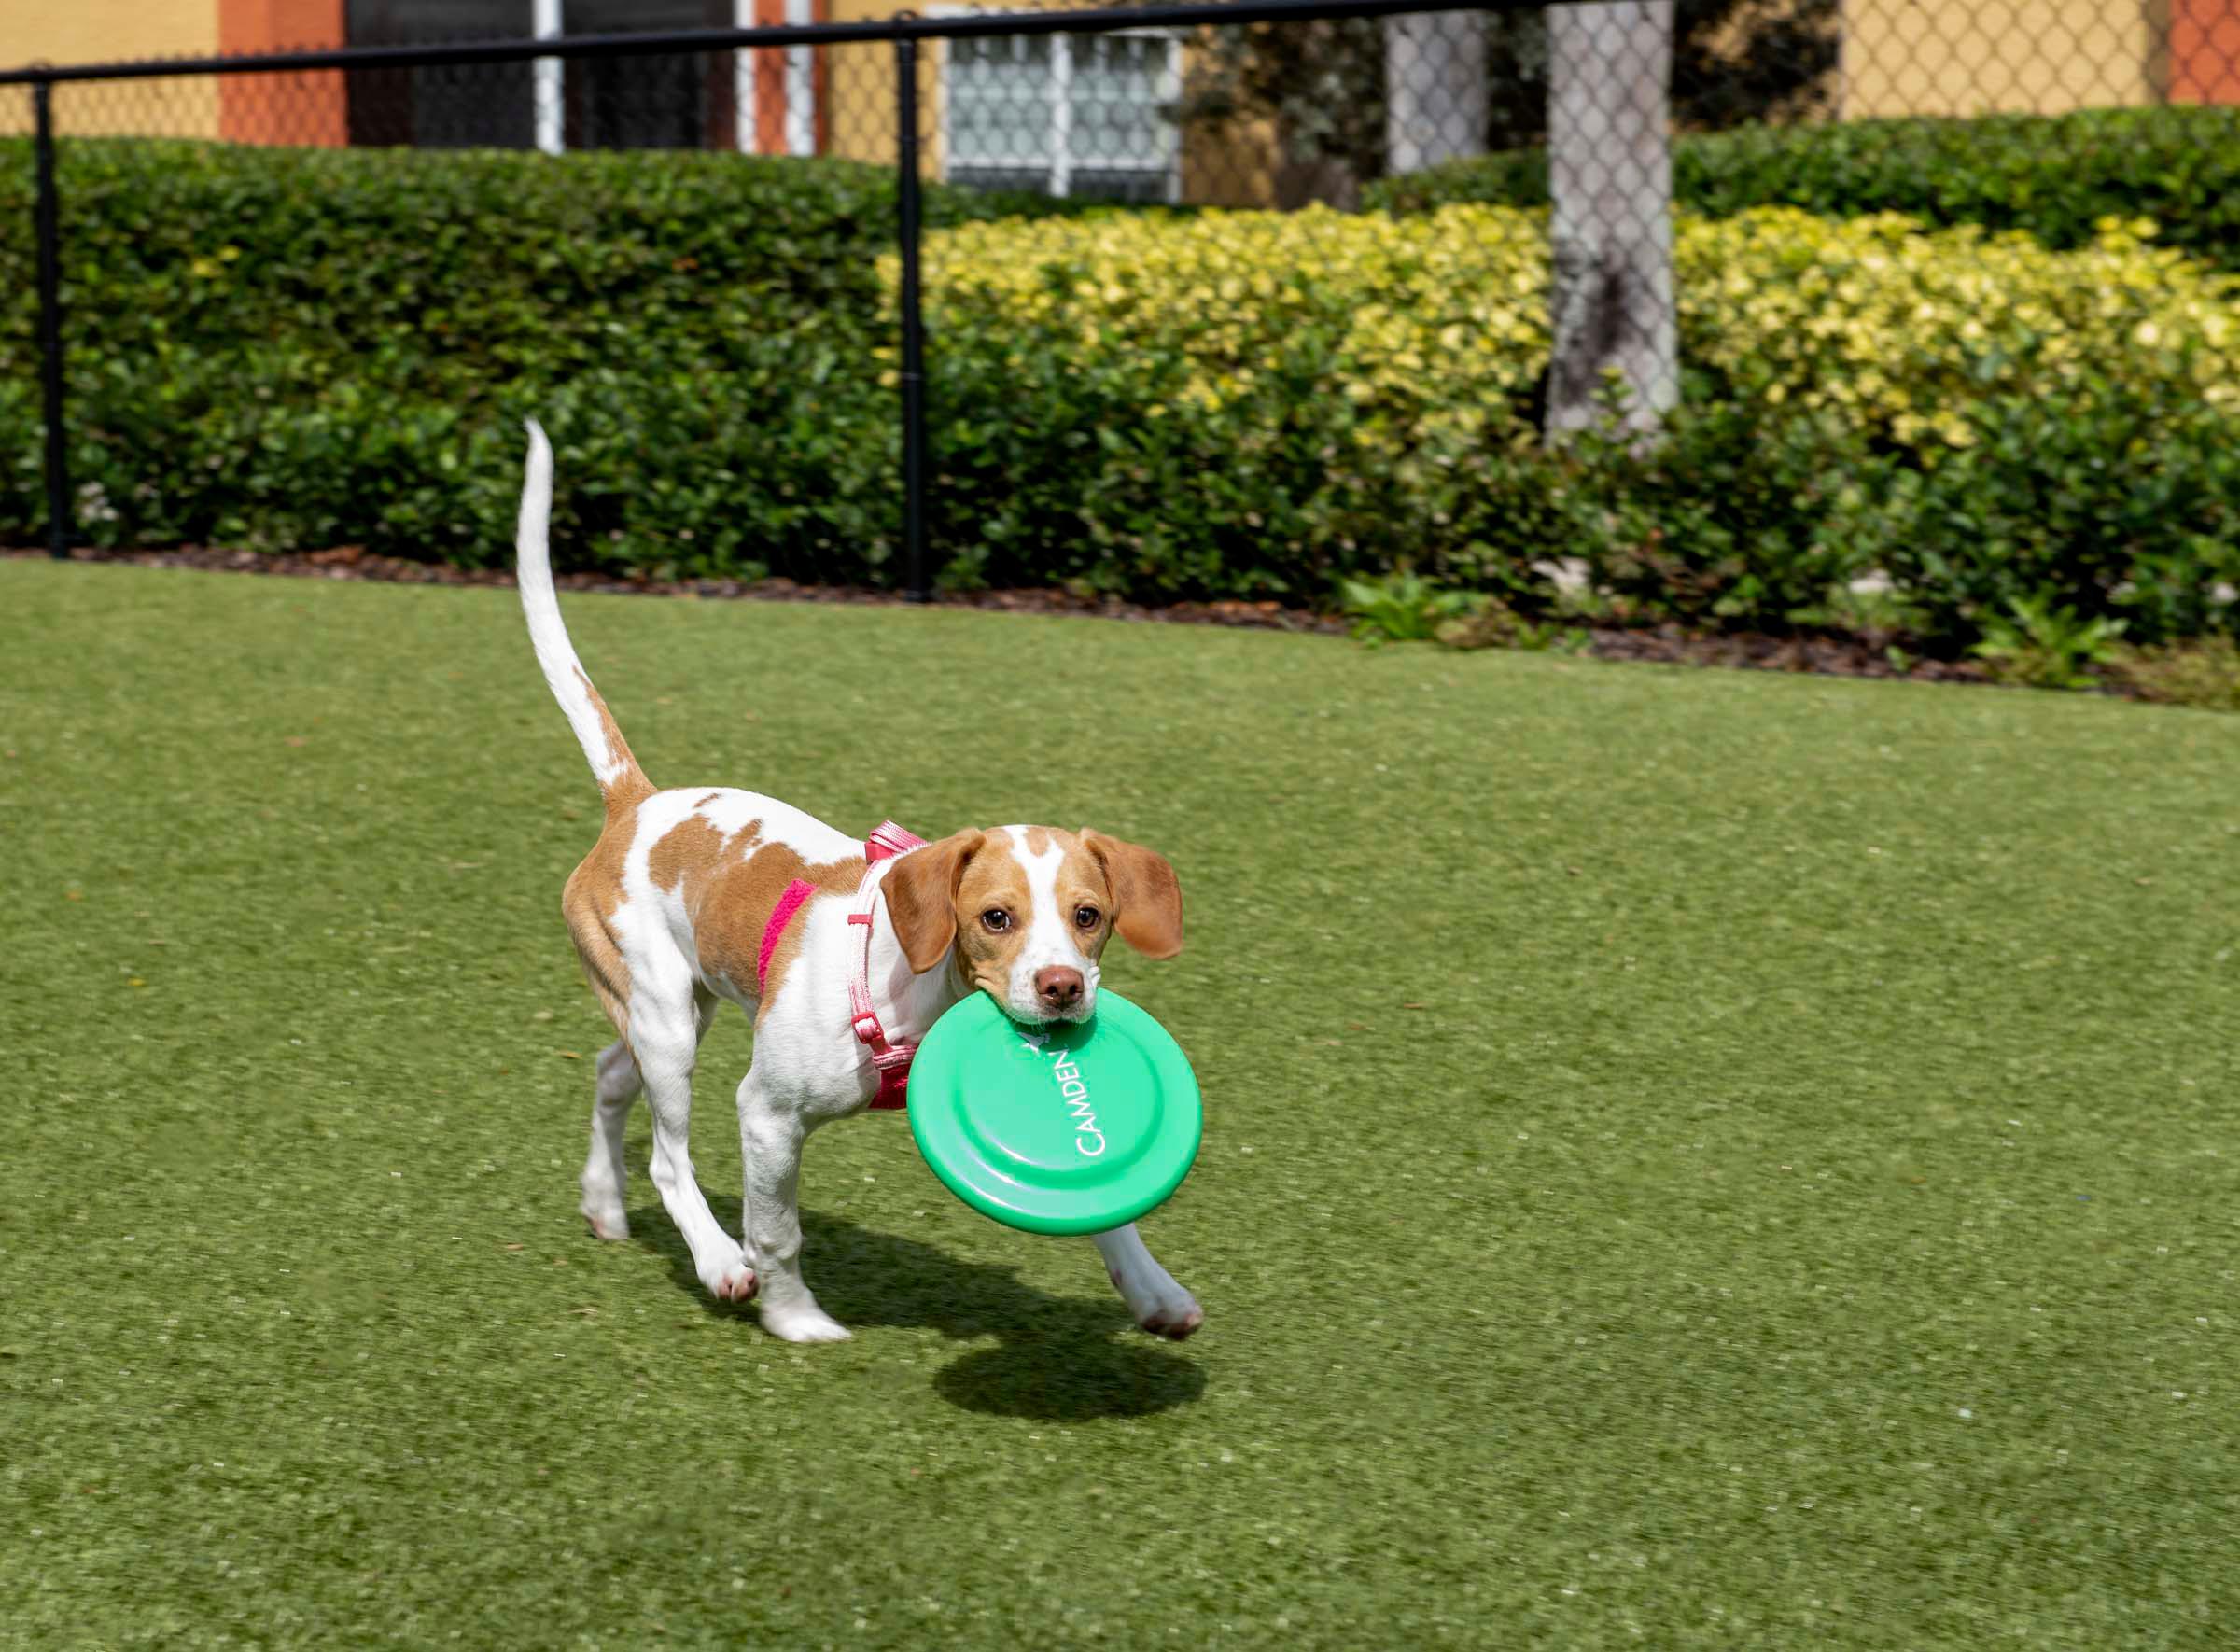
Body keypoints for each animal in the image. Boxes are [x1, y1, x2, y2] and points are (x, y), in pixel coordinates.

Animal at [512, 420, 1210, 1343]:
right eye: (995, 918)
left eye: (1089, 915)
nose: (1063, 987)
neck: (919, 996)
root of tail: (636, 801)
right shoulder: (767, 1115)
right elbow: (777, 1230)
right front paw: (795, 1318)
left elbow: (1110, 1208)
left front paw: (1153, 1290)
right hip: (664, 1019)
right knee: (667, 1156)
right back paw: (716, 1260)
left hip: (674, 1010)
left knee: (607, 1074)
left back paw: (603, 1201)